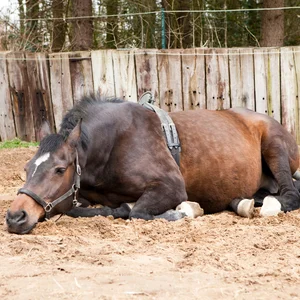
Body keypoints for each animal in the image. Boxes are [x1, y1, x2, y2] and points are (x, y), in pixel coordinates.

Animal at [4, 94, 300, 234]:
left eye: (59, 169)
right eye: (26, 169)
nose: (15, 216)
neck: (112, 145)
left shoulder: (171, 186)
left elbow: (136, 212)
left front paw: (184, 211)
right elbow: (81, 210)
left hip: (274, 146)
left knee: (289, 195)